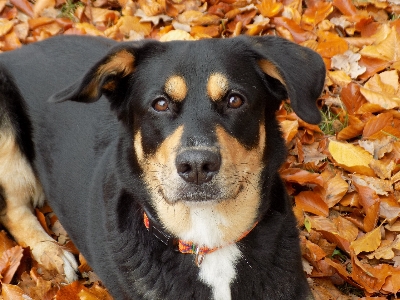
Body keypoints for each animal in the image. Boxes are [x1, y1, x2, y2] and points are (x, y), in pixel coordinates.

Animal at [0, 34, 324, 298]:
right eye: (160, 104)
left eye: (235, 100)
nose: (197, 165)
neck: (207, 239)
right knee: (13, 211)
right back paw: (52, 253)